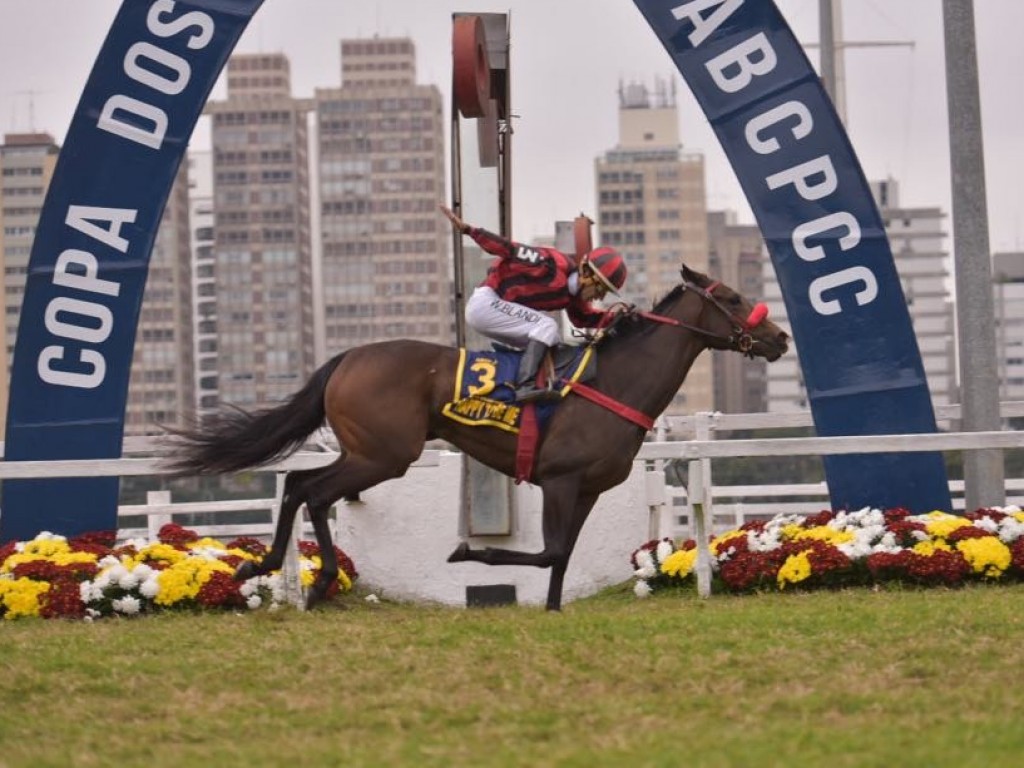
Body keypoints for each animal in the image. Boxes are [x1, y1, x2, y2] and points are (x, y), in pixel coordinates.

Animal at [165, 266, 790, 614]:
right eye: (734, 298)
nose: (779, 337)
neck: (612, 383)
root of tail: (346, 358)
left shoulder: (588, 489)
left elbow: (562, 555)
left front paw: (554, 609)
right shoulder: (559, 480)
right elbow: (547, 551)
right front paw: (469, 552)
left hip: (368, 452)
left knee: (301, 484)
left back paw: (278, 571)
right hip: (384, 454)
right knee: (310, 489)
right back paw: (301, 580)